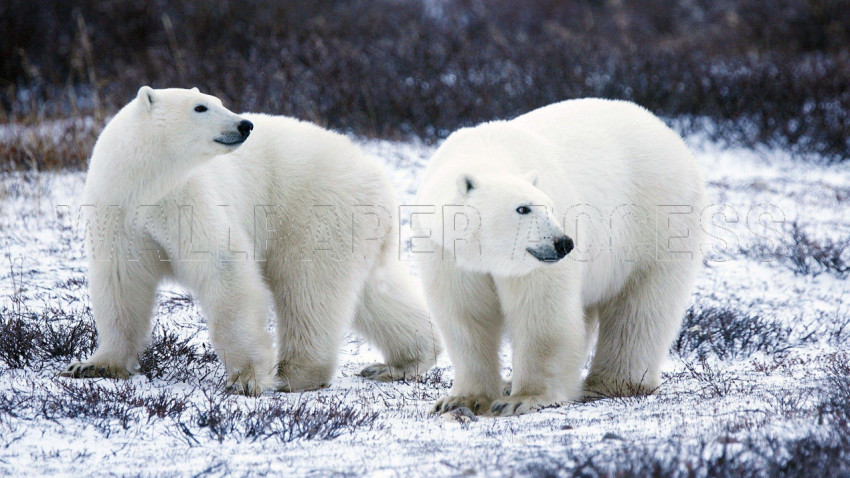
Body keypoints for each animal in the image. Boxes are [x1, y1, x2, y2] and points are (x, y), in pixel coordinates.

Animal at [61, 86, 441, 395]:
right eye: (201, 106)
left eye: (219, 101)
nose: (245, 125)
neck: (146, 183)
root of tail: (378, 175)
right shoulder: (118, 210)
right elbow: (120, 281)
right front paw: (93, 365)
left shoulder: (188, 198)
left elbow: (224, 267)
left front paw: (246, 379)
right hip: (357, 227)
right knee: (372, 292)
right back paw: (401, 362)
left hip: (316, 209)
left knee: (308, 288)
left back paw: (295, 374)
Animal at [413, 98, 706, 416]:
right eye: (523, 208)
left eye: (550, 207)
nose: (563, 243)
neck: (486, 152)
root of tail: (668, 133)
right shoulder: (448, 255)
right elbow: (466, 317)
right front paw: (461, 399)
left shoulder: (536, 265)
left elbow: (542, 315)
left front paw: (522, 399)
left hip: (657, 222)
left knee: (639, 309)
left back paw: (611, 383)